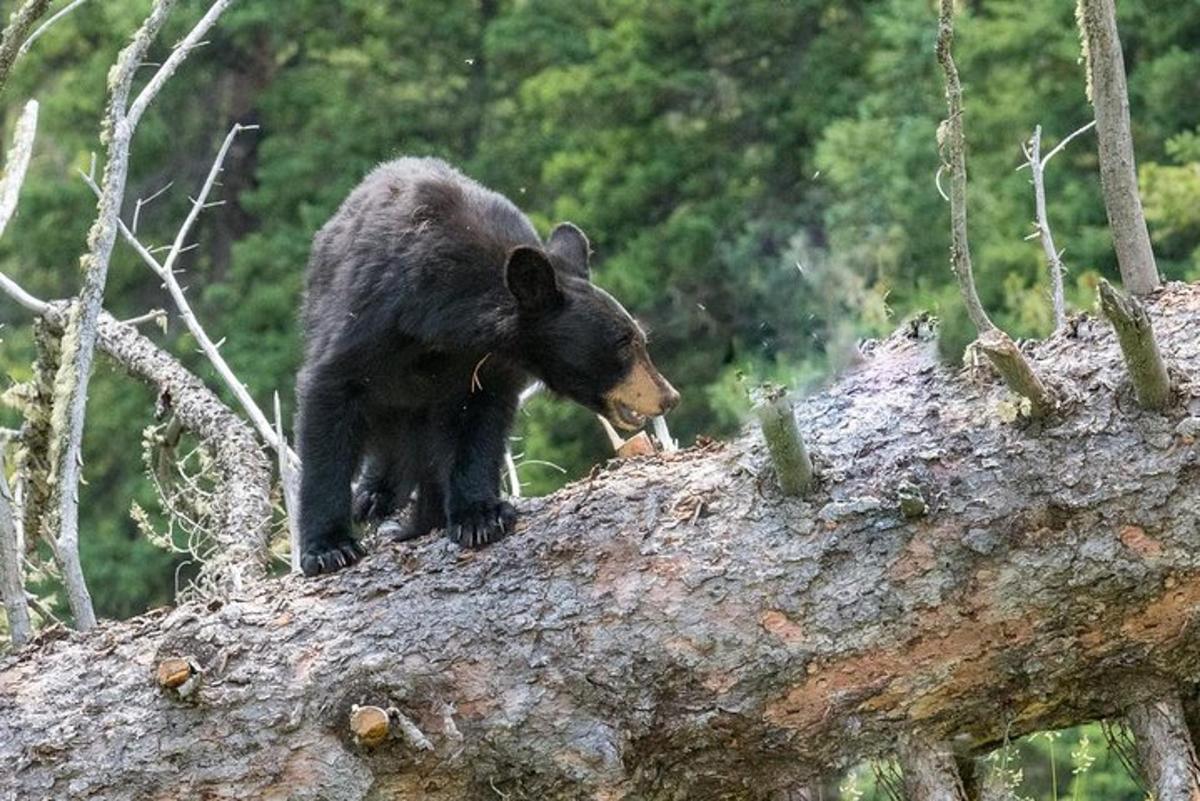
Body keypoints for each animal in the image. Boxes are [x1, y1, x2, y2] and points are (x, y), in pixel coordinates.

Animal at [296, 155, 681, 573]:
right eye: (624, 344)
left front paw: (480, 516)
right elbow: (329, 405)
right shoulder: (371, 318)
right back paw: (377, 498)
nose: (669, 396)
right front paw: (328, 546)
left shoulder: (486, 366)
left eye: (640, 339)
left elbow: (480, 423)